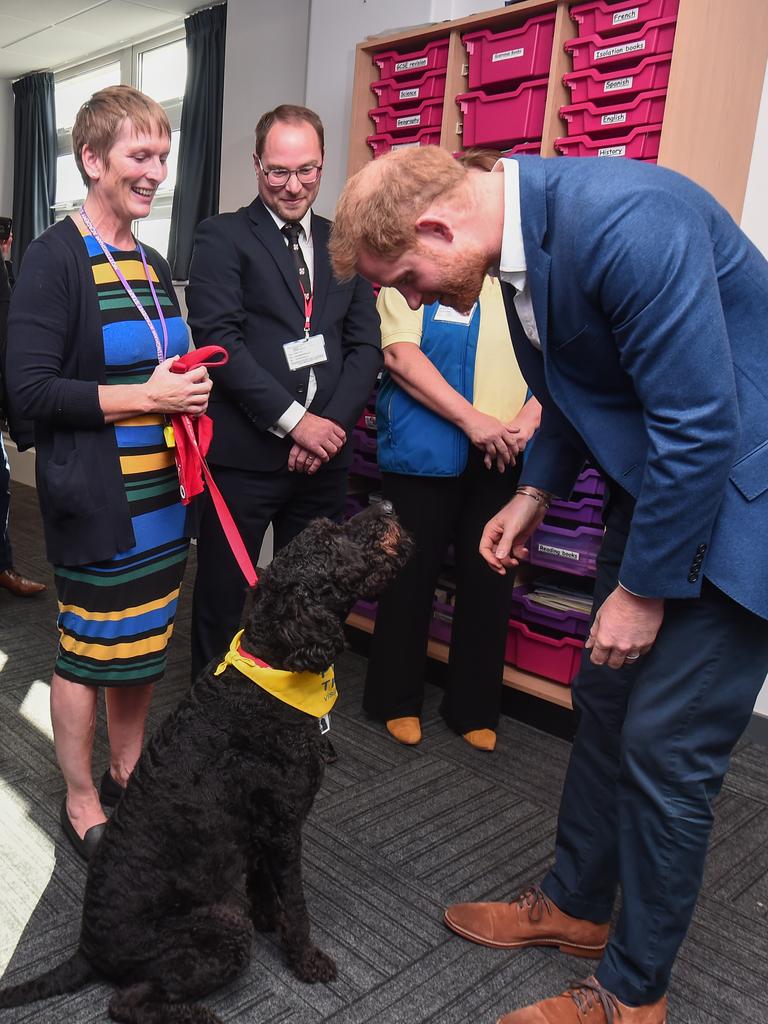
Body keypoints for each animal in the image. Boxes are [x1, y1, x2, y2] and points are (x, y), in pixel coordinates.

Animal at [0, 503, 411, 1024]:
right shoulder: (284, 828)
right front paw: (306, 958)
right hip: (220, 923)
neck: (270, 673)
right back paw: (200, 1015)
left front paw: (269, 916)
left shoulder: (260, 828)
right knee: (126, 1002)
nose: (385, 505)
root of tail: (87, 948)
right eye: (332, 541)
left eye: (328, 528)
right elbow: (298, 905)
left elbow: (264, 882)